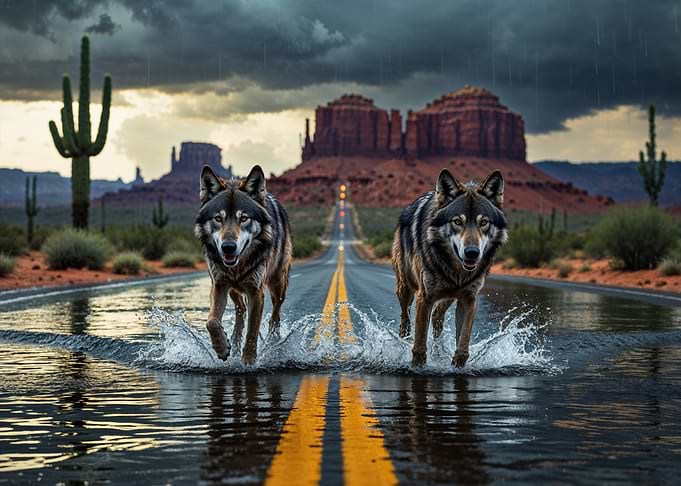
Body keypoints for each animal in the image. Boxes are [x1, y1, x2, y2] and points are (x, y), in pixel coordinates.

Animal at [195, 165, 292, 365]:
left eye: (244, 218)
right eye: (218, 218)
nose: (228, 247)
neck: (238, 267)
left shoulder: (256, 291)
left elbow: (253, 329)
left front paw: (248, 359)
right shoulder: (219, 285)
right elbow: (212, 321)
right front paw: (222, 348)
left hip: (278, 286)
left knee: (275, 313)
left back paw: (273, 339)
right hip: (233, 291)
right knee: (241, 311)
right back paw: (234, 340)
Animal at [392, 169, 508, 368]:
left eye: (484, 222)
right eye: (457, 221)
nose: (472, 253)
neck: (456, 271)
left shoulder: (469, 298)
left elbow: (464, 337)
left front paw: (458, 363)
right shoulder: (425, 296)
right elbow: (420, 339)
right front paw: (418, 365)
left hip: (448, 298)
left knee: (437, 317)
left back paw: (439, 352)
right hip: (406, 289)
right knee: (405, 318)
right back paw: (402, 341)